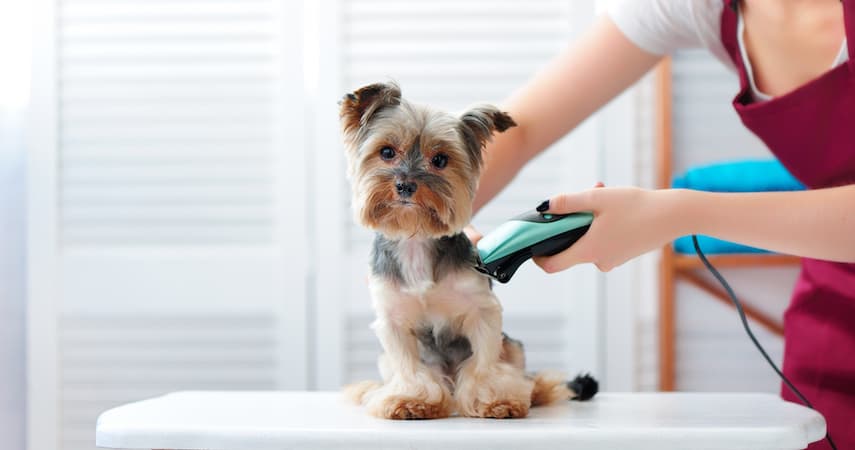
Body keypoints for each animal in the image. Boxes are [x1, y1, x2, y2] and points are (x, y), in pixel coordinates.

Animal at [340, 82, 596, 420]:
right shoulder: (393, 319)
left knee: (522, 371)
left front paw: (496, 400)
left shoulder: (482, 309)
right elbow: (408, 366)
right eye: (386, 152)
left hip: (513, 346)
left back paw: (535, 390)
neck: (416, 239)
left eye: (440, 160)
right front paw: (409, 399)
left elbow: (484, 363)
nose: (406, 185)